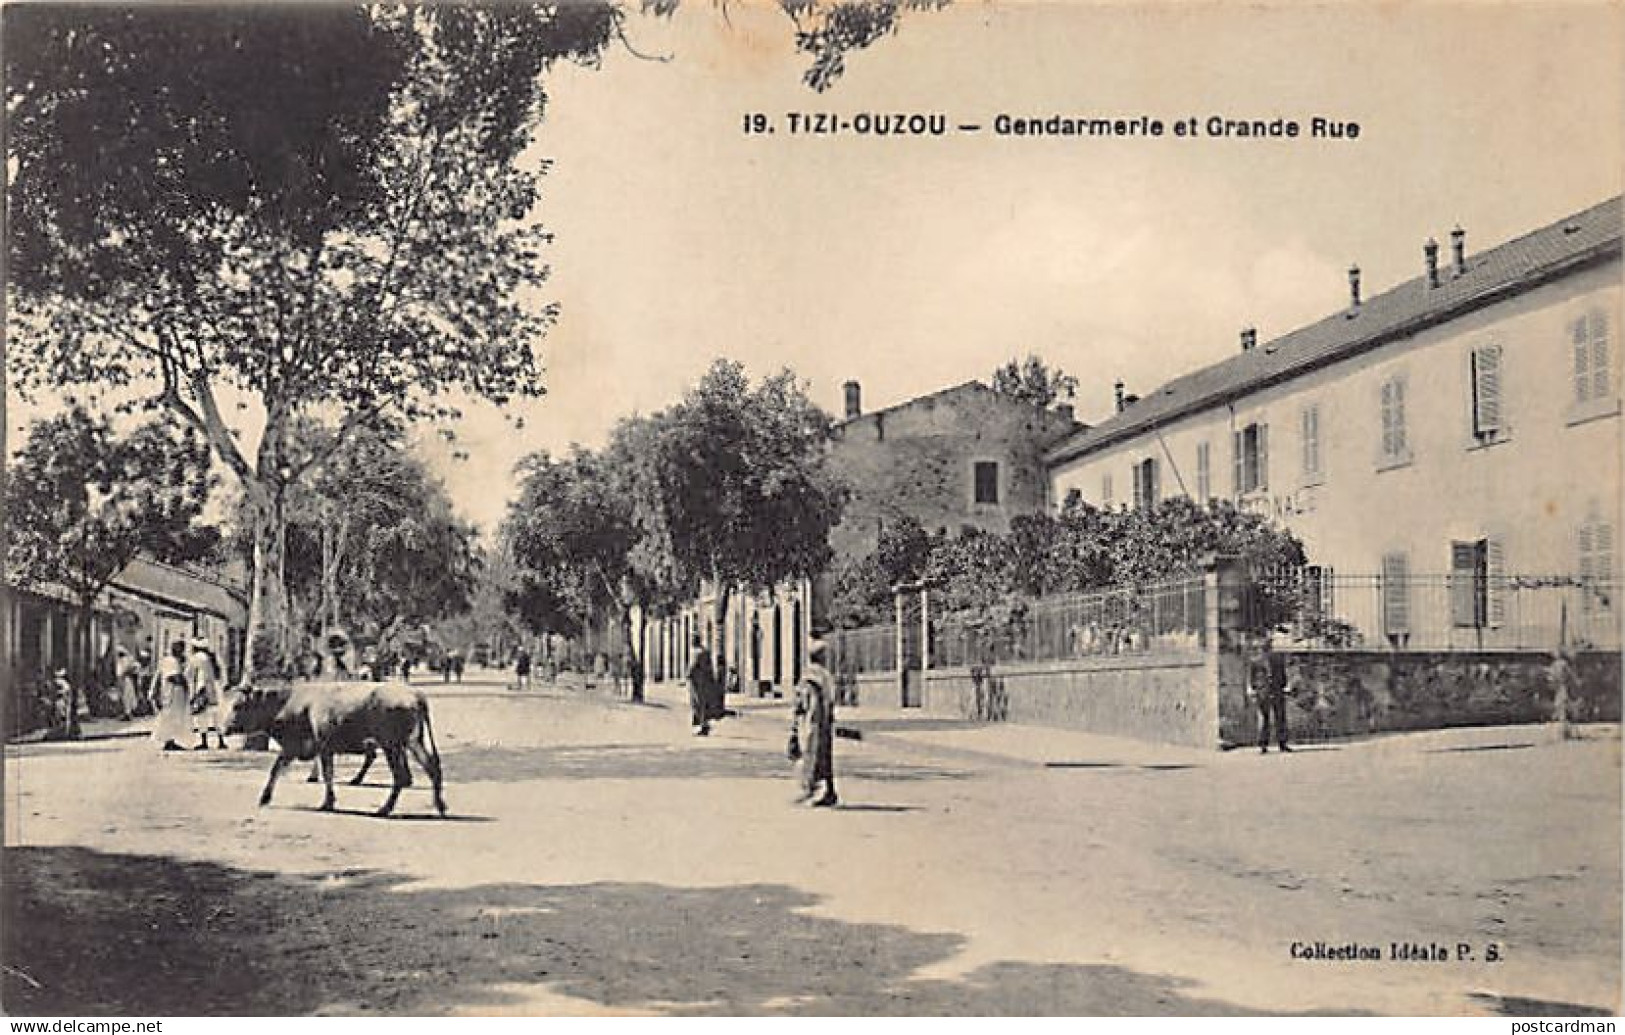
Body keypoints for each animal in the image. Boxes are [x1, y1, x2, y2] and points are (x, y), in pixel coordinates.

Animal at [224, 682, 445, 818]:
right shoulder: (297, 748)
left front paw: (328, 802)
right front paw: (265, 798)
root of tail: (414, 694)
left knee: (402, 775)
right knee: (430, 767)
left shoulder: (317, 746)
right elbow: (276, 769)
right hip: (410, 742)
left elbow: (327, 774)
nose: (223, 728)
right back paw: (440, 806)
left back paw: (384, 809)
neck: (288, 703)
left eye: (237, 706)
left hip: (393, 745)